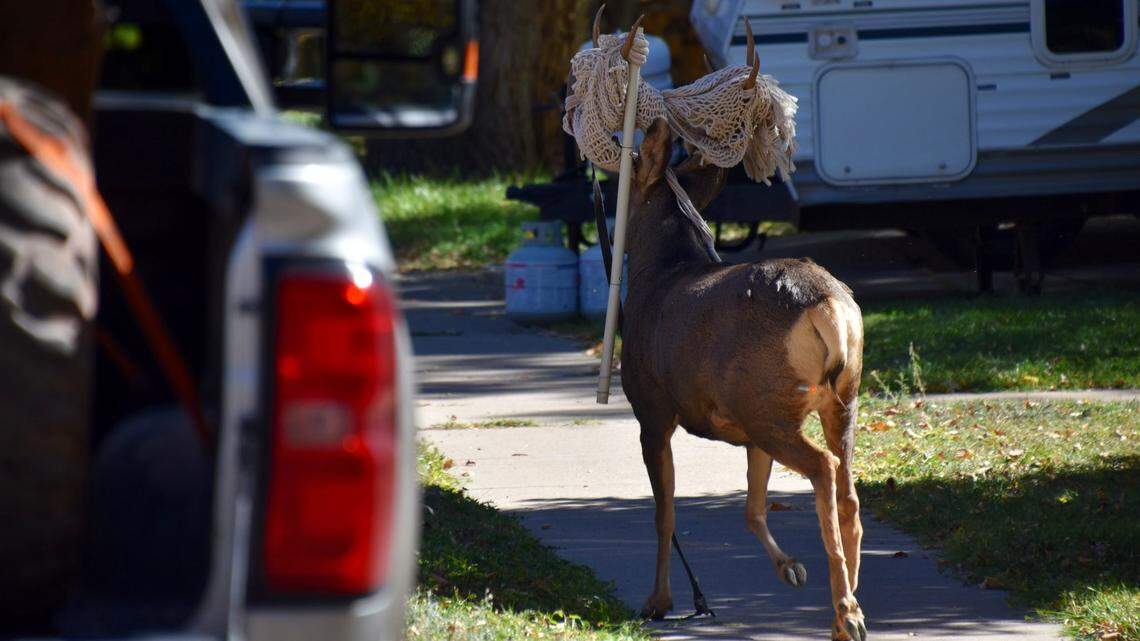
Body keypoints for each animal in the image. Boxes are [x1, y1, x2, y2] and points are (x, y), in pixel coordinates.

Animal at [620, 116, 867, 640]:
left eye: (628, 170)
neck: (657, 274)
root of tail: (829, 306)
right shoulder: (746, 432)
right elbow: (752, 508)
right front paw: (789, 568)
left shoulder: (652, 413)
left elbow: (665, 515)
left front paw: (658, 602)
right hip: (829, 401)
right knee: (849, 494)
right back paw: (845, 612)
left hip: (770, 409)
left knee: (824, 469)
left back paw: (847, 612)